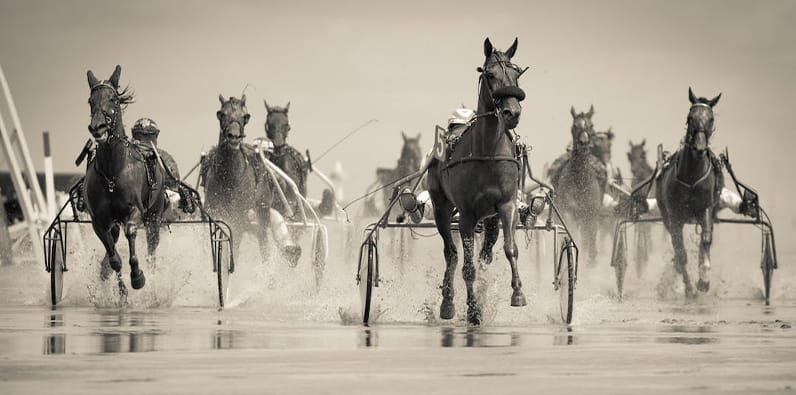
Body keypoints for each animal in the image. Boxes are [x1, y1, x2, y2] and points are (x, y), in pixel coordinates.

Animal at [84, 65, 165, 290]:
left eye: (113, 99)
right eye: (90, 101)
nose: (98, 127)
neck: (113, 172)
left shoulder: (135, 211)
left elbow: (131, 231)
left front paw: (137, 276)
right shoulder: (99, 222)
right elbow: (113, 258)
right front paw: (121, 290)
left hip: (154, 216)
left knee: (152, 248)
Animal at [201, 94, 276, 264]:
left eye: (244, 116)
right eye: (222, 114)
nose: (234, 137)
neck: (228, 178)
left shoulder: (237, 218)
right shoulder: (215, 213)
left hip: (262, 209)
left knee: (263, 239)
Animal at [430, 38, 528, 326]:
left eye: (517, 74)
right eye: (490, 74)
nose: (512, 112)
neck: (487, 152)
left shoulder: (506, 205)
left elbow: (510, 249)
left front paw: (518, 293)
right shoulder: (466, 215)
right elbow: (467, 266)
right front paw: (473, 309)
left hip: (491, 218)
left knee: (486, 251)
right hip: (441, 207)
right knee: (451, 254)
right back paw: (448, 303)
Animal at [556, 105, 608, 266]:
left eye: (591, 125)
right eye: (574, 126)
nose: (584, 144)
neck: (580, 182)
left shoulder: (591, 214)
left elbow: (590, 239)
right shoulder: (568, 213)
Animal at [656, 88, 724, 298]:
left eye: (711, 118)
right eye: (690, 117)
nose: (700, 147)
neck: (692, 176)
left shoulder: (706, 208)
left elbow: (706, 240)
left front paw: (704, 280)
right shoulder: (675, 215)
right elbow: (681, 252)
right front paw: (689, 288)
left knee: (704, 241)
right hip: (667, 216)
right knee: (677, 246)